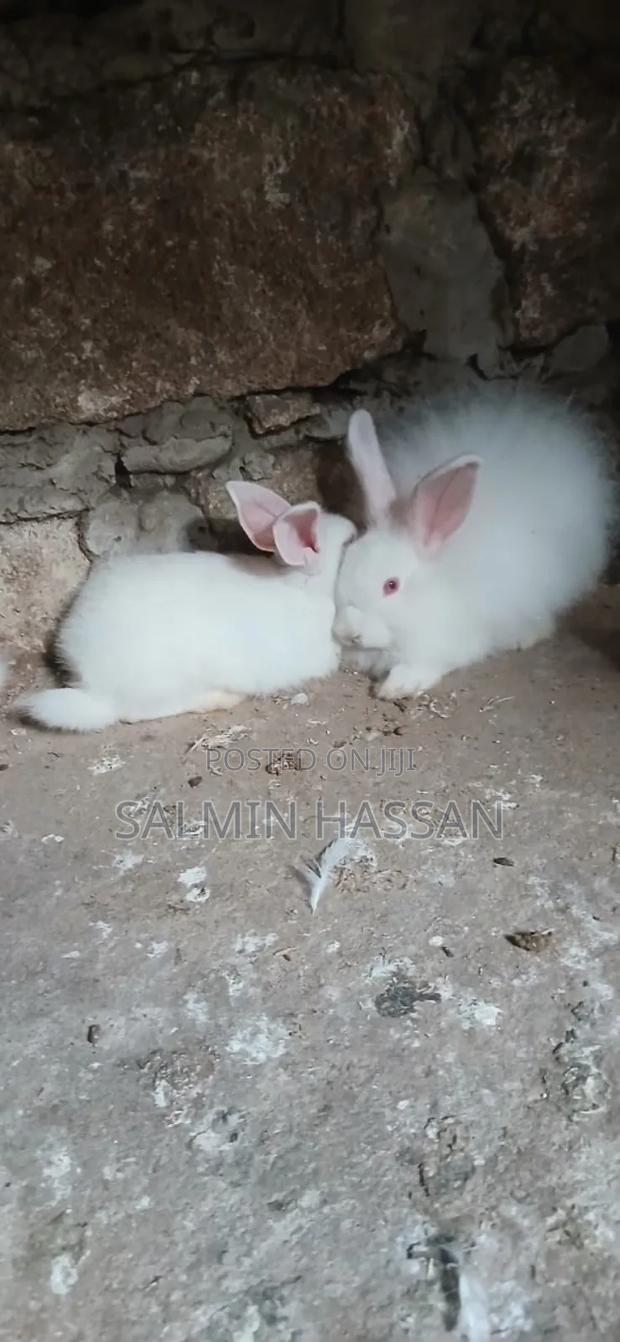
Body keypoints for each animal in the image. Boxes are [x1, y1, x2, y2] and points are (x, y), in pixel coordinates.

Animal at [17, 483, 356, 731]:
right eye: (350, 542)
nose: (358, 530)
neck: (303, 586)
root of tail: (93, 687)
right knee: (134, 713)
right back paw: (221, 698)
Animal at [333, 382, 616, 700]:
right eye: (344, 563)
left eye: (391, 585)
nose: (345, 632)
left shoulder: (448, 645)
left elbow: (424, 666)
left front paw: (396, 686)